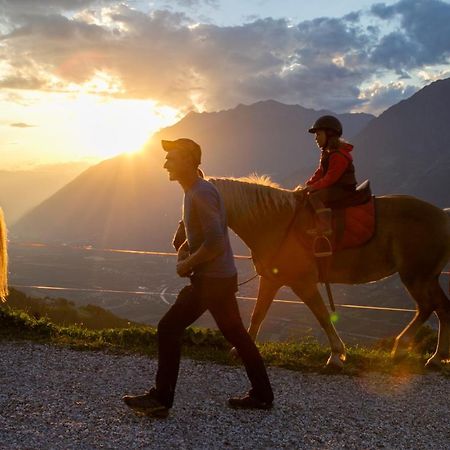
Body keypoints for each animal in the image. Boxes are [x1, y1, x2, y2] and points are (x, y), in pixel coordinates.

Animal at [172, 176, 450, 370]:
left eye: (192, 210)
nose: (177, 243)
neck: (274, 222)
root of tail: (442, 215)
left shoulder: (303, 284)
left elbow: (322, 315)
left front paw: (336, 355)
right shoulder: (270, 280)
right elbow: (257, 315)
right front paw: (240, 350)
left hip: (416, 276)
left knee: (429, 307)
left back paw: (406, 349)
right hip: (428, 277)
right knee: (440, 308)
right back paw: (435, 357)